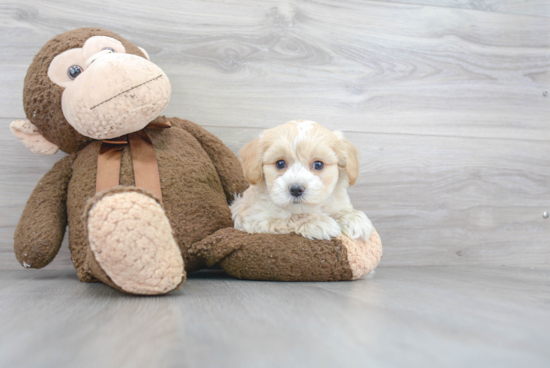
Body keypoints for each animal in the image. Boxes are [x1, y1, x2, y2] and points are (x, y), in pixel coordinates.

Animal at [231, 120, 374, 242]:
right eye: (280, 163)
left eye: (318, 165)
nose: (295, 189)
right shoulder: (253, 217)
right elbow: (287, 217)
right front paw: (319, 222)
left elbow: (338, 209)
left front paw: (354, 218)